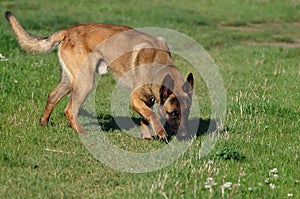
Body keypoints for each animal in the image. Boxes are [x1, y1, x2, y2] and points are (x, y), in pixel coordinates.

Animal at [5, 10, 195, 141]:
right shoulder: (134, 98)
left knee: (52, 97)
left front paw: (147, 136)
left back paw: (44, 123)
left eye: (187, 112)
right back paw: (81, 132)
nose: (185, 136)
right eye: (172, 113)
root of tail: (67, 31)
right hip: (85, 82)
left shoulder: (146, 100)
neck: (159, 64)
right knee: (70, 110)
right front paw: (160, 132)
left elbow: (146, 116)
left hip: (70, 81)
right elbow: (152, 114)